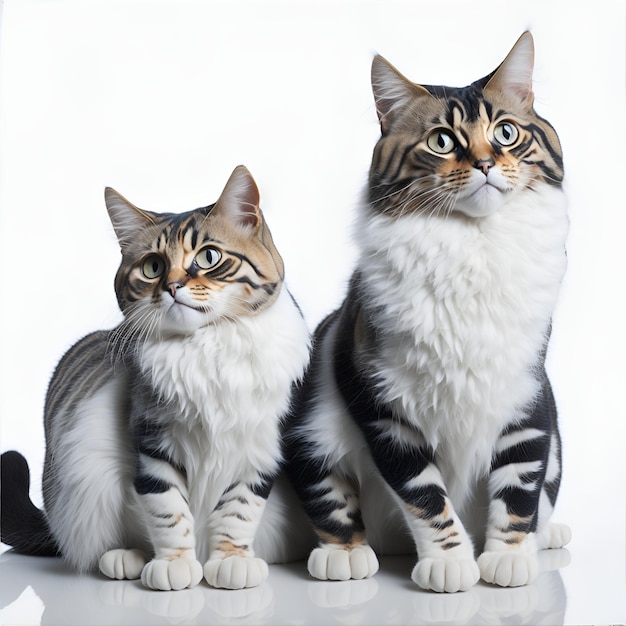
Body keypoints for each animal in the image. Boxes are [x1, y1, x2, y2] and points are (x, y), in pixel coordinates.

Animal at [0, 166, 310, 588]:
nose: (172, 286)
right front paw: (175, 564)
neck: (207, 343)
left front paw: (231, 560)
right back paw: (125, 558)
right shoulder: (152, 441)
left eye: (209, 256)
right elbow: (167, 509)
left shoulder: (261, 445)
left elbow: (239, 510)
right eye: (152, 267)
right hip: (86, 483)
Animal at [282, 33, 572, 588]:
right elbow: (423, 494)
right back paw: (346, 554)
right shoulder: (381, 403)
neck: (474, 245)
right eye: (442, 141)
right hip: (313, 428)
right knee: (330, 496)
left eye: (506, 133)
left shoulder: (527, 392)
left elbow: (520, 486)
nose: (485, 163)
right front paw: (451, 564)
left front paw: (508, 558)